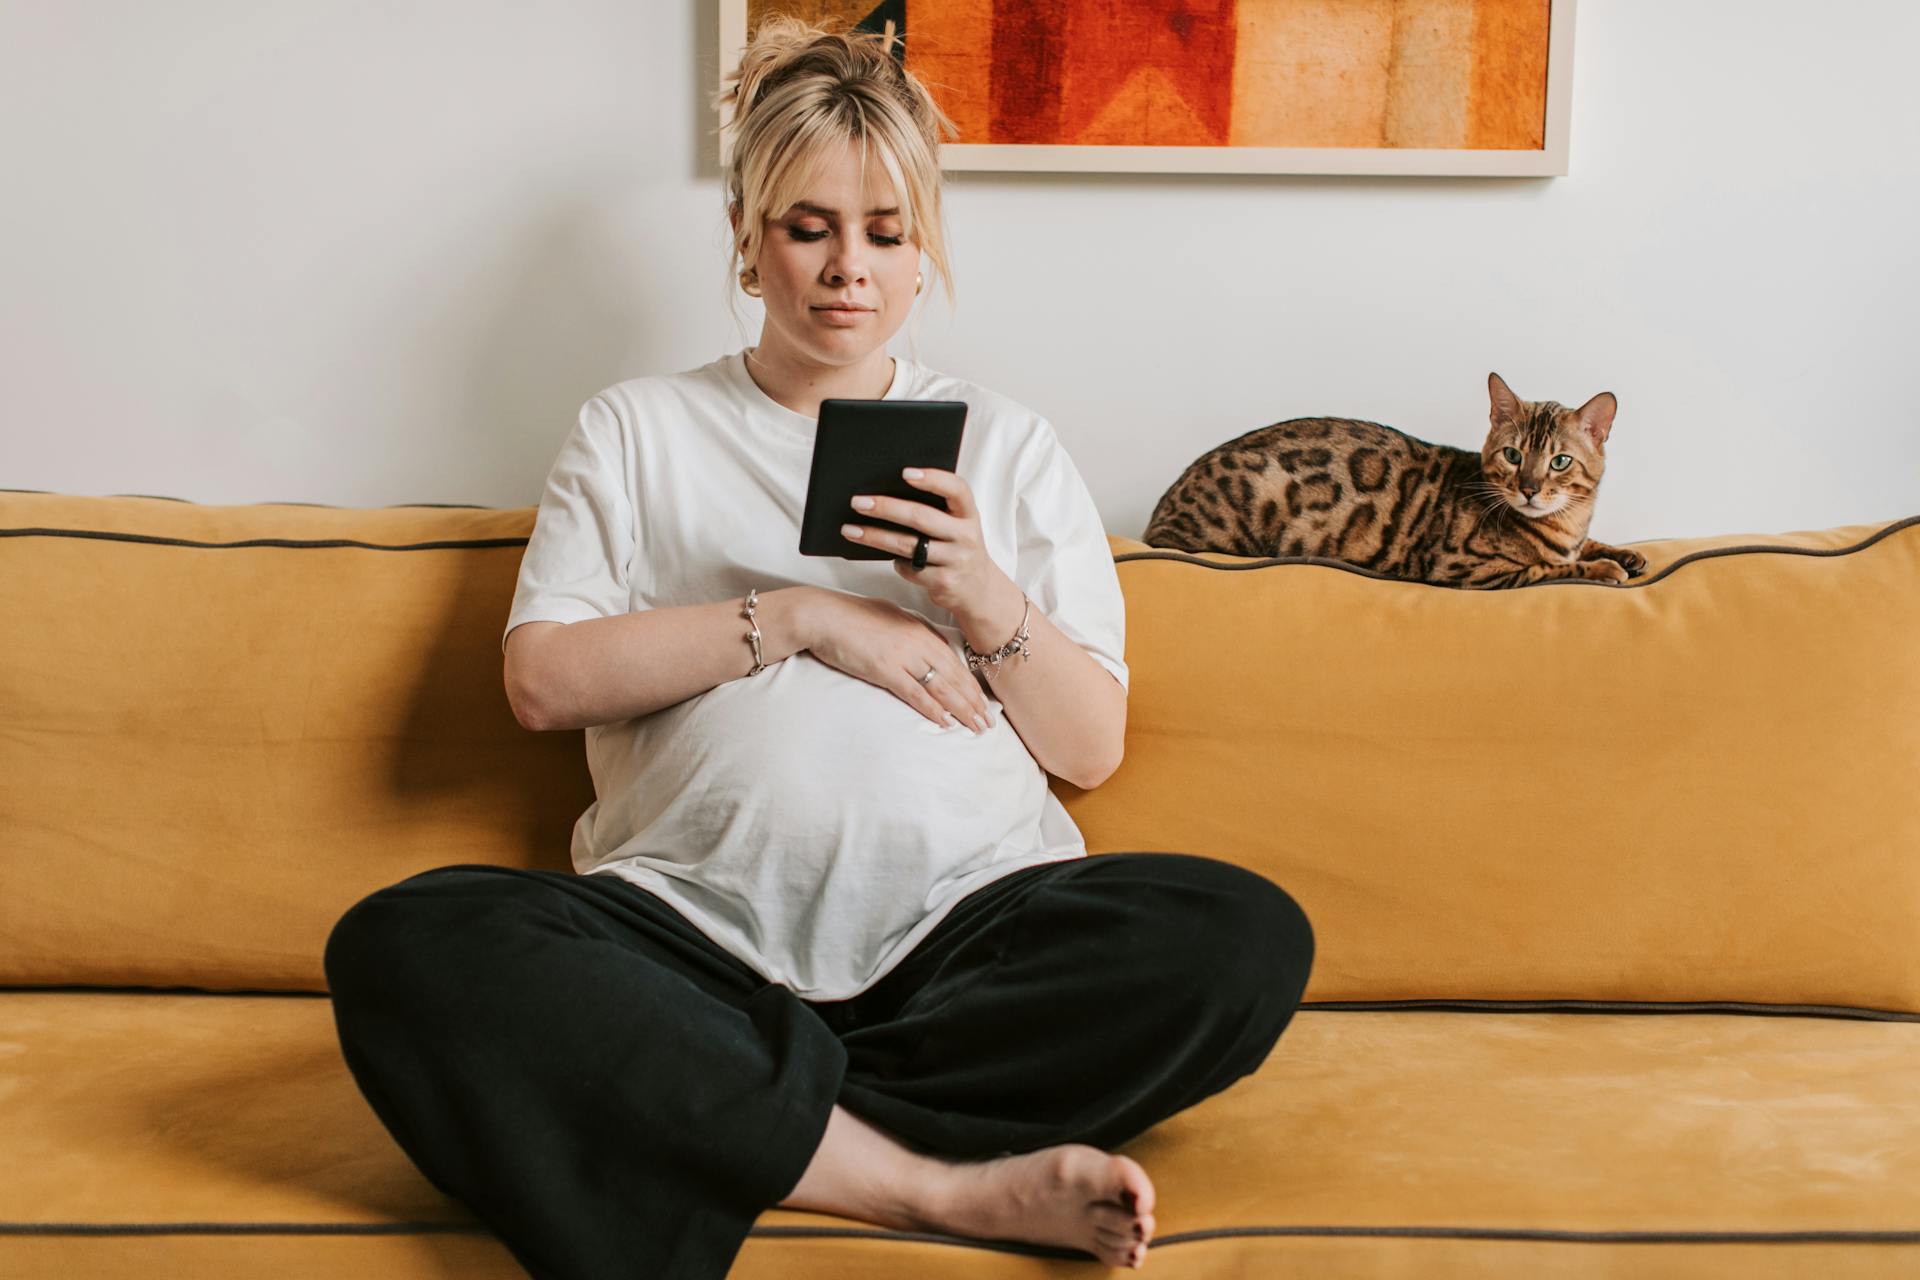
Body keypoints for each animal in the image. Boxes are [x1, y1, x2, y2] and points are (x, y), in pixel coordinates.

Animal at [1136, 370, 1651, 591]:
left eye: (1560, 461)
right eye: (1513, 455)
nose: (1528, 488)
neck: (1566, 524)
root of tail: (1155, 521)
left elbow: (1582, 550)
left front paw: (1623, 553)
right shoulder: (1464, 568)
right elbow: (1551, 567)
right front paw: (1605, 568)